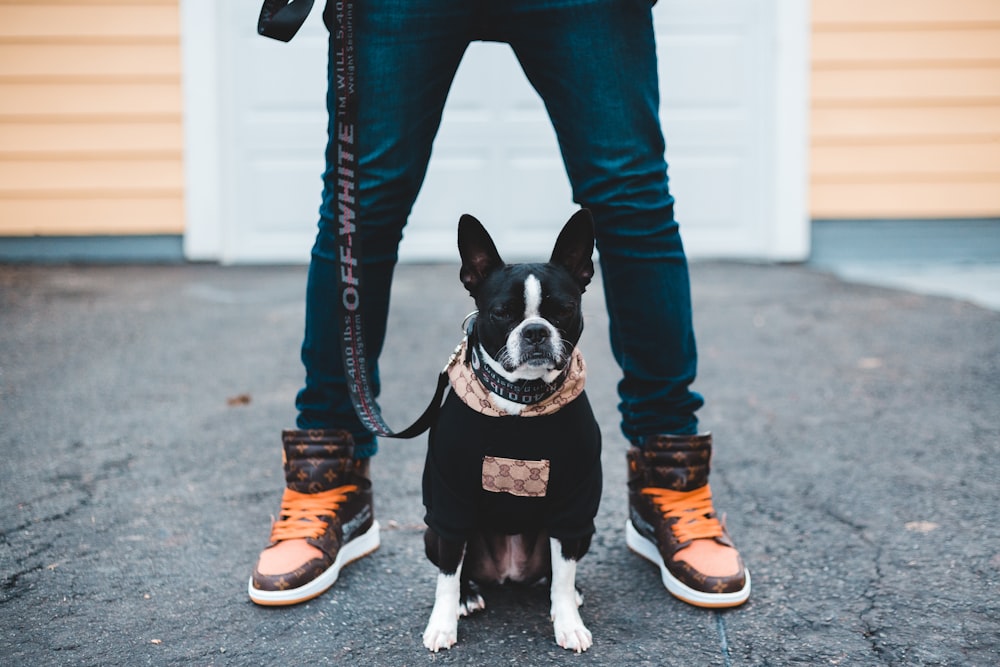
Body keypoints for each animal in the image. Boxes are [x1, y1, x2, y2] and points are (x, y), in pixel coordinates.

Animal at [422, 213, 600, 652]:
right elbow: (446, 577)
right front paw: (442, 624)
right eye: (502, 313)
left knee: (557, 571)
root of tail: (509, 572)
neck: (521, 397)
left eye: (563, 310)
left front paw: (568, 622)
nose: (535, 331)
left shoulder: (574, 505)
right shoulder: (449, 505)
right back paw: (468, 595)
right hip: (433, 530)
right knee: (458, 566)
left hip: (583, 529)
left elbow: (564, 572)